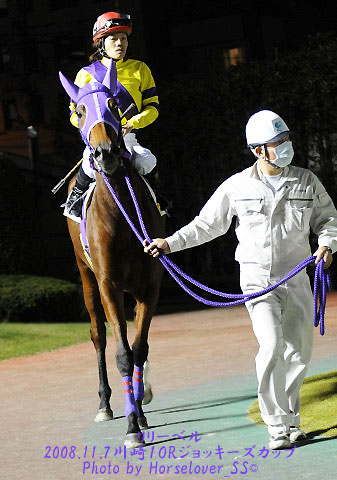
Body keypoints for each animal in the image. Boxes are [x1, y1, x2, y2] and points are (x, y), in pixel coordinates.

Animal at [58, 61, 165, 450]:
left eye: (115, 104)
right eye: (79, 110)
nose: (105, 153)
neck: (122, 214)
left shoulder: (149, 286)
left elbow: (140, 348)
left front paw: (141, 414)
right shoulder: (108, 284)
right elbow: (121, 352)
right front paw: (131, 427)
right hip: (86, 277)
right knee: (98, 336)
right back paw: (105, 403)